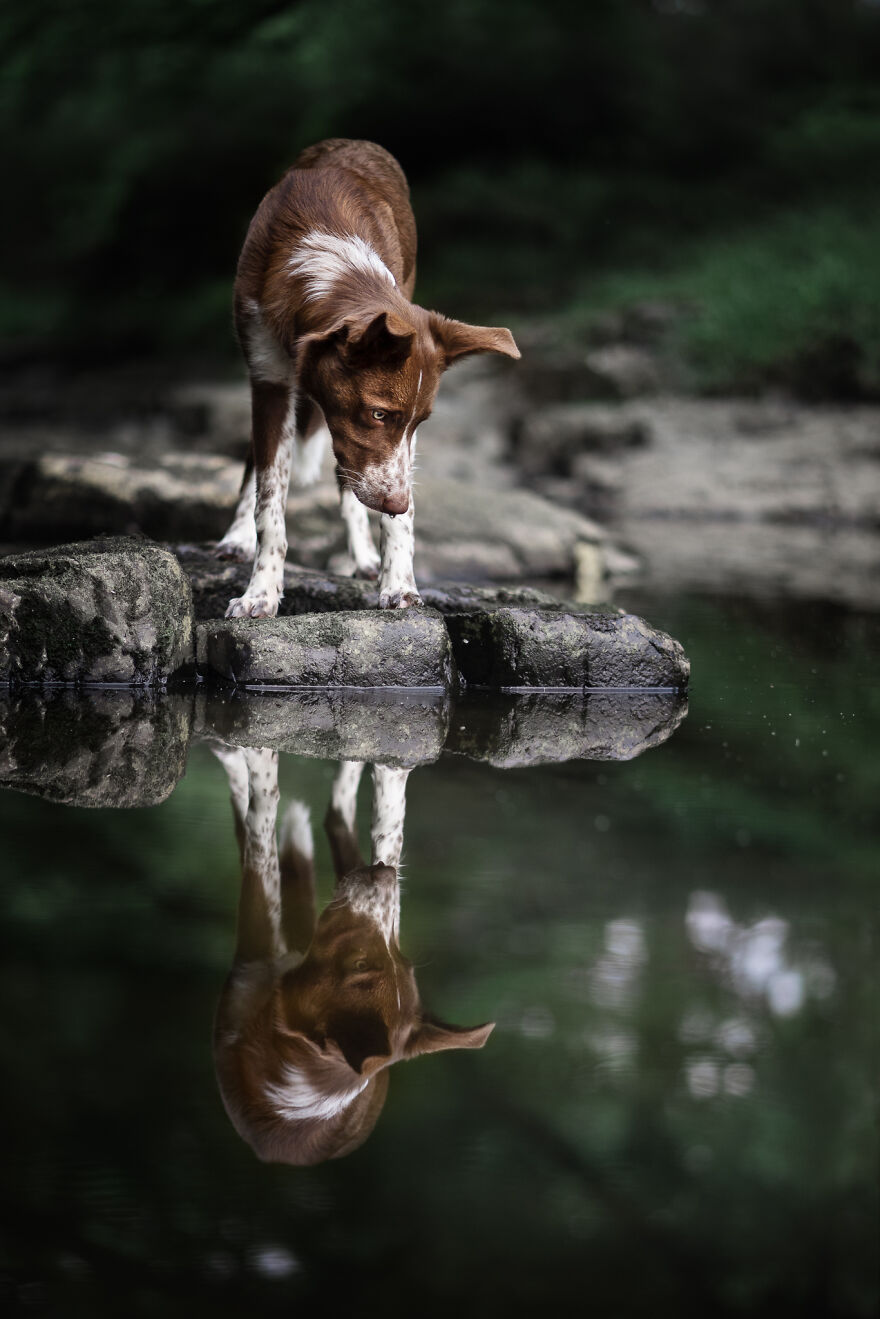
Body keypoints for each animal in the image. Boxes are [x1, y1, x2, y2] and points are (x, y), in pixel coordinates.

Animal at [209, 749, 493, 1171]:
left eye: (358, 963)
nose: (385, 876)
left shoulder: (251, 956)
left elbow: (260, 835)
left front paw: (253, 761)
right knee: (342, 818)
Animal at [217, 139, 522, 617]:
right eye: (378, 414)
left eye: (420, 422)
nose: (396, 502)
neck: (333, 273)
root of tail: (353, 143)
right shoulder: (268, 380)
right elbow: (270, 506)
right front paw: (260, 593)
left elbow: (398, 515)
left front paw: (398, 584)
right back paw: (237, 537)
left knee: (349, 481)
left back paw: (362, 556)